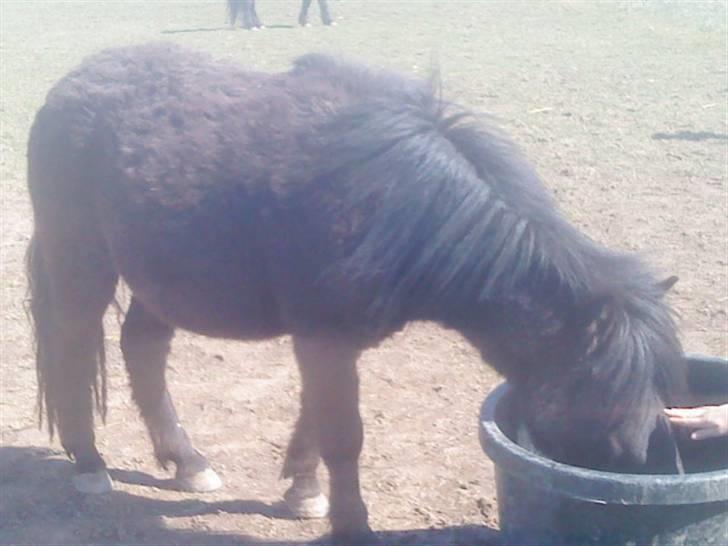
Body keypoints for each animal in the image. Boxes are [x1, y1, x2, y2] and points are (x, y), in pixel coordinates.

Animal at [26, 43, 687, 545]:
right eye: (601, 386)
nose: (638, 466)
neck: (397, 202)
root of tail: (69, 85)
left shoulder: (331, 342)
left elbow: (315, 420)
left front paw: (302, 490)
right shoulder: (324, 338)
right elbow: (343, 433)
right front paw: (352, 525)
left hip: (161, 280)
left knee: (142, 350)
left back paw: (188, 464)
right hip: (82, 263)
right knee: (73, 349)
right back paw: (90, 464)